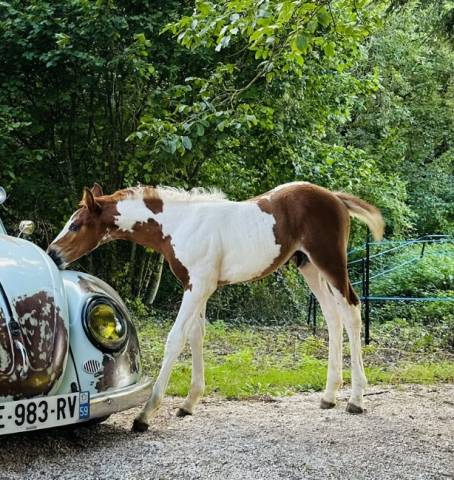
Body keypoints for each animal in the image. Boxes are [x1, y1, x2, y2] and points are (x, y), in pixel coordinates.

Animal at [48, 182, 384, 434]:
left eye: (75, 225)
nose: (52, 254)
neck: (179, 224)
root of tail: (335, 198)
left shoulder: (198, 286)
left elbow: (175, 339)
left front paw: (145, 415)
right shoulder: (197, 287)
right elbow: (196, 336)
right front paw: (189, 403)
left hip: (330, 262)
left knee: (351, 312)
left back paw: (356, 399)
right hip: (309, 266)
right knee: (332, 316)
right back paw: (329, 396)